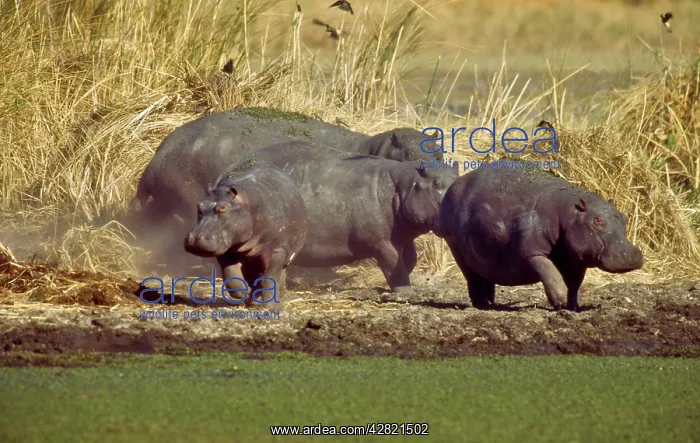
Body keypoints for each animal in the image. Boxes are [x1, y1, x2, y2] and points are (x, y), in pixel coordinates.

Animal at [184, 162, 308, 307]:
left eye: (223, 207)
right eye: (199, 206)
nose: (195, 238)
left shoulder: (278, 251)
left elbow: (269, 279)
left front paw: (268, 306)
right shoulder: (228, 252)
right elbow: (232, 278)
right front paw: (246, 293)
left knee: (276, 277)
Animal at [211, 141, 459, 293]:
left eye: (457, 177)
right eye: (436, 183)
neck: (402, 185)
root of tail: (229, 170)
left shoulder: (403, 237)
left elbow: (409, 260)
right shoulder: (381, 242)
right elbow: (393, 264)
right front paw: (403, 291)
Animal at [437, 167, 644, 311]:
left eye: (624, 217)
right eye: (598, 220)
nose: (632, 254)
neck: (568, 214)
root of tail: (454, 185)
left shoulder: (576, 260)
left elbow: (575, 284)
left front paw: (573, 307)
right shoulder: (532, 252)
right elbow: (549, 271)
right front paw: (559, 302)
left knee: (484, 275)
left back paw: (490, 302)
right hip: (454, 243)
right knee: (472, 277)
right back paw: (482, 306)